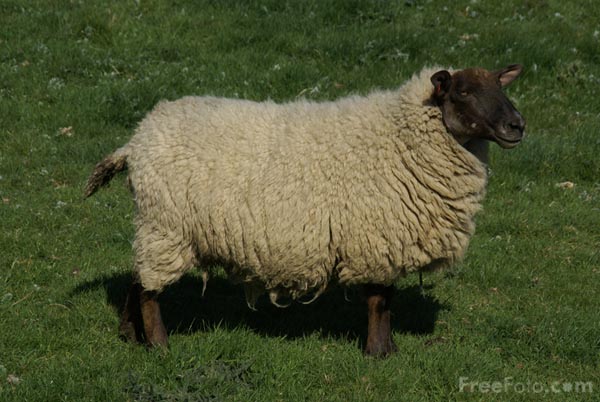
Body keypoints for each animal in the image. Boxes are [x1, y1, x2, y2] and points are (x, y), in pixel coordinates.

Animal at [85, 64, 525, 357]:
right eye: (463, 92)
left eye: (500, 86)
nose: (517, 125)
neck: (402, 138)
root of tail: (135, 141)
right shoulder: (374, 238)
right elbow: (379, 300)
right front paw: (378, 353)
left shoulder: (382, 241)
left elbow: (386, 300)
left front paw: (389, 349)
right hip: (167, 226)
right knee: (149, 290)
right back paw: (159, 346)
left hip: (155, 227)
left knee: (138, 278)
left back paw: (131, 335)